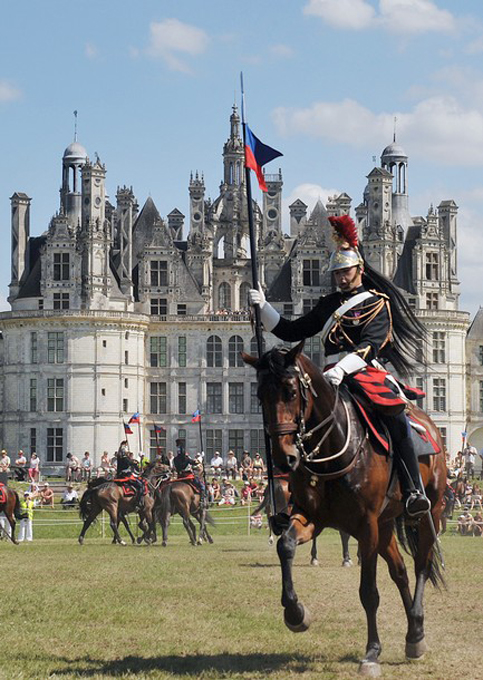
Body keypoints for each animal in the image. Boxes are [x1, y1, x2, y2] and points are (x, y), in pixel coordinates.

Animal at [244, 348, 448, 676]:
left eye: (290, 391)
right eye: (260, 395)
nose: (284, 458)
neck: (332, 444)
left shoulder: (366, 527)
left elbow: (369, 592)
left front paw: (372, 652)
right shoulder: (311, 517)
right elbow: (285, 546)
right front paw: (295, 613)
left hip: (430, 514)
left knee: (421, 565)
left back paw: (416, 629)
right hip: (386, 526)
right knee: (401, 572)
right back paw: (415, 633)